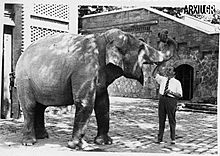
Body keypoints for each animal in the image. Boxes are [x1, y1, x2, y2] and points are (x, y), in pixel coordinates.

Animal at [15, 28, 177, 149]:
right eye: (142, 47)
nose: (163, 34)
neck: (102, 38)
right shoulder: (85, 69)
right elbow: (85, 102)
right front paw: (79, 146)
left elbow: (103, 103)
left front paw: (104, 142)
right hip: (24, 80)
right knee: (30, 106)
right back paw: (29, 142)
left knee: (40, 107)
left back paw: (43, 137)